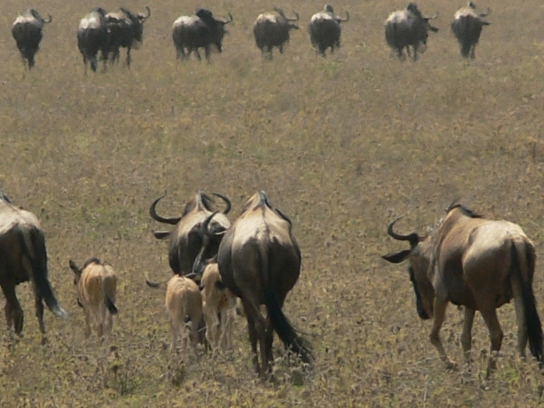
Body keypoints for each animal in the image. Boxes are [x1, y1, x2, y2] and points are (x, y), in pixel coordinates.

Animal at [205, 191, 312, 376]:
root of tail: (262, 237)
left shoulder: (245, 299)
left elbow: (251, 329)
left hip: (251, 296)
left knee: (260, 326)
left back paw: (262, 371)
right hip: (279, 295)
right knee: (270, 326)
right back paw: (270, 368)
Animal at [382, 203, 544, 377]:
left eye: (411, 273)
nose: (423, 312)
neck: (438, 243)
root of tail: (513, 239)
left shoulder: (441, 296)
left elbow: (433, 335)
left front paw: (452, 365)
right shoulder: (470, 304)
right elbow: (465, 337)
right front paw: (467, 372)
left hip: (485, 301)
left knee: (496, 333)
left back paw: (488, 376)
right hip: (518, 293)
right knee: (523, 329)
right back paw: (522, 371)